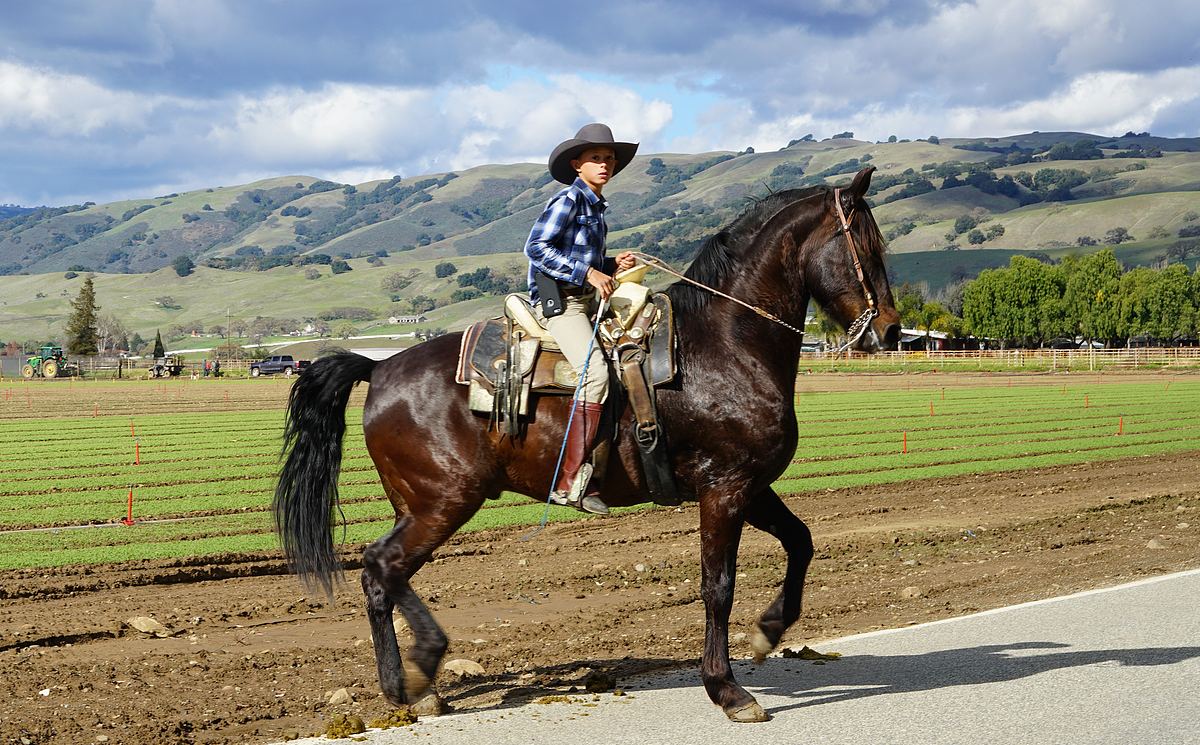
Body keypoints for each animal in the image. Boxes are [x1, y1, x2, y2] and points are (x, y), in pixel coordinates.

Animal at [274, 165, 902, 724]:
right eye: (868, 248)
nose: (891, 331)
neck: (725, 344)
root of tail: (379, 369)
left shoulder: (750, 485)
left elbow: (802, 542)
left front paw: (769, 631)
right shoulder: (724, 489)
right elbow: (717, 586)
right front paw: (727, 690)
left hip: (421, 504)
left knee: (384, 573)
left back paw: (418, 683)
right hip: (442, 501)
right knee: (382, 567)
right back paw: (414, 675)